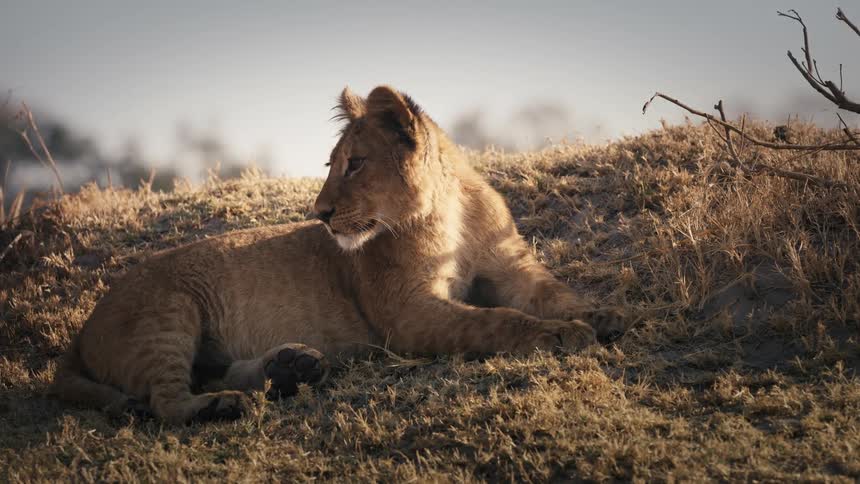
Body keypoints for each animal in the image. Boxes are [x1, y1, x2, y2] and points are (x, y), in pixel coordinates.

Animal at [50, 86, 626, 423]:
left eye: (355, 164)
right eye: (332, 163)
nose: (320, 213)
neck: (452, 213)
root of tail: (84, 325)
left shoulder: (511, 267)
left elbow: (554, 293)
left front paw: (602, 314)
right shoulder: (407, 313)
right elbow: (496, 321)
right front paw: (560, 334)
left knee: (210, 372)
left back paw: (291, 368)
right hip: (168, 312)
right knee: (165, 402)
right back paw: (222, 406)